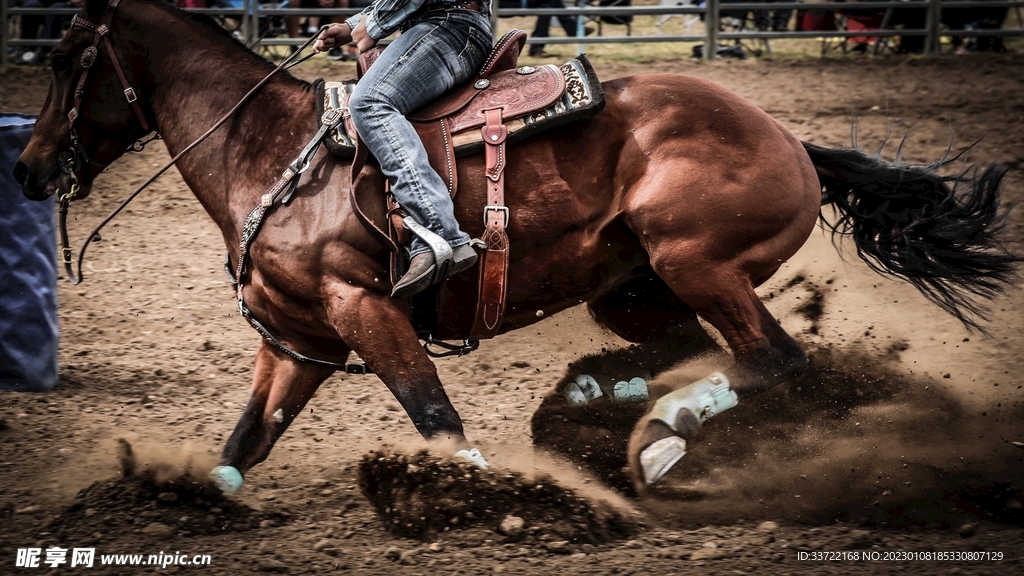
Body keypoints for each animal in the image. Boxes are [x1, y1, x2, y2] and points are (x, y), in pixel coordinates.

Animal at [14, 0, 1019, 493]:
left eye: (67, 61)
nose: (25, 169)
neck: (270, 152)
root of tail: (790, 139)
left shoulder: (365, 309)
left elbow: (436, 419)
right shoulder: (296, 341)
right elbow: (242, 447)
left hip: (693, 259)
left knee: (774, 357)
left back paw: (661, 436)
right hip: (633, 286)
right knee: (700, 348)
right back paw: (602, 397)